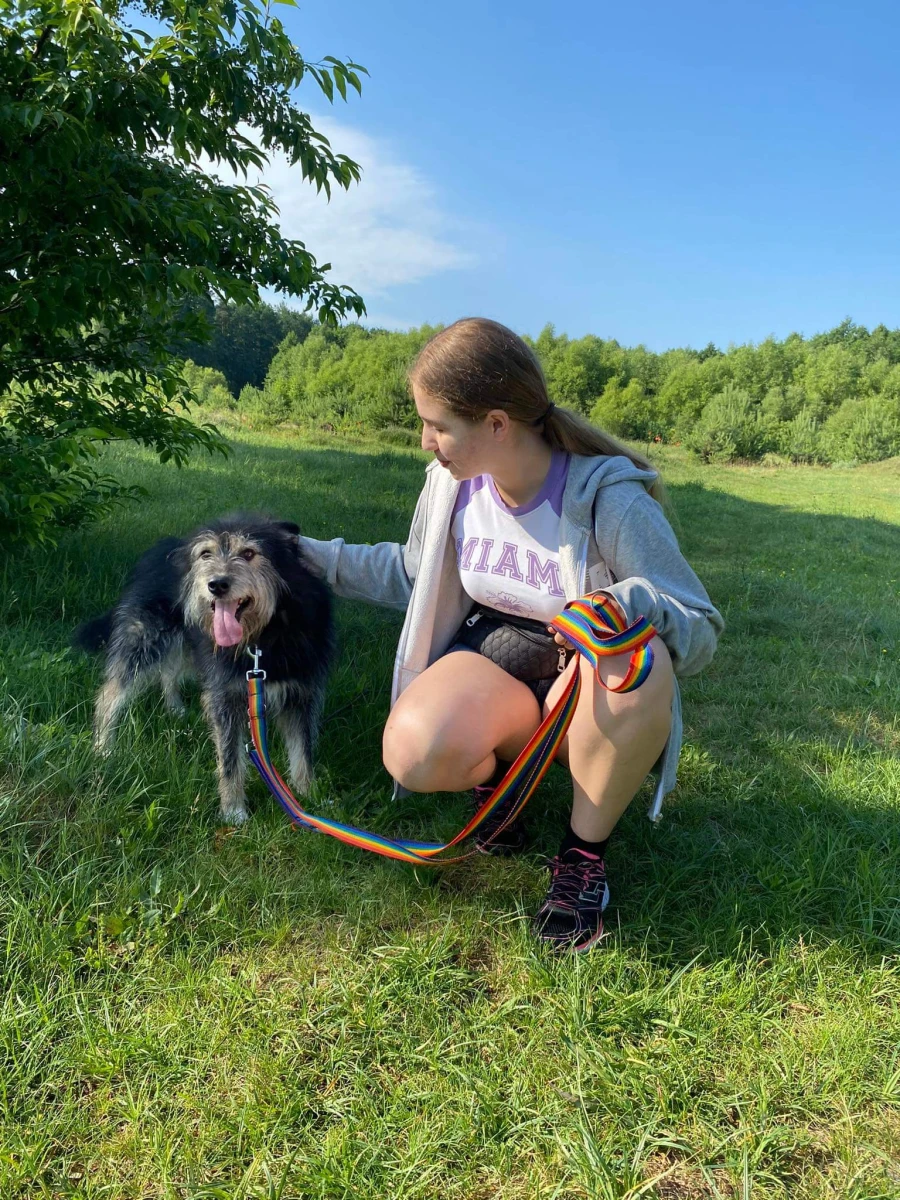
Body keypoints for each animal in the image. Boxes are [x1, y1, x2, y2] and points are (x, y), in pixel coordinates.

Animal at [74, 514, 334, 824]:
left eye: (249, 553)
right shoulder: (225, 695)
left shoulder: (302, 694)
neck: (263, 636)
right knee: (110, 694)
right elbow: (230, 758)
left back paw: (174, 708)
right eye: (206, 554)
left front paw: (311, 799)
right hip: (145, 642)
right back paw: (103, 748)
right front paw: (234, 811)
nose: (216, 584)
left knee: (169, 672)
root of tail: (157, 551)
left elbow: (303, 751)